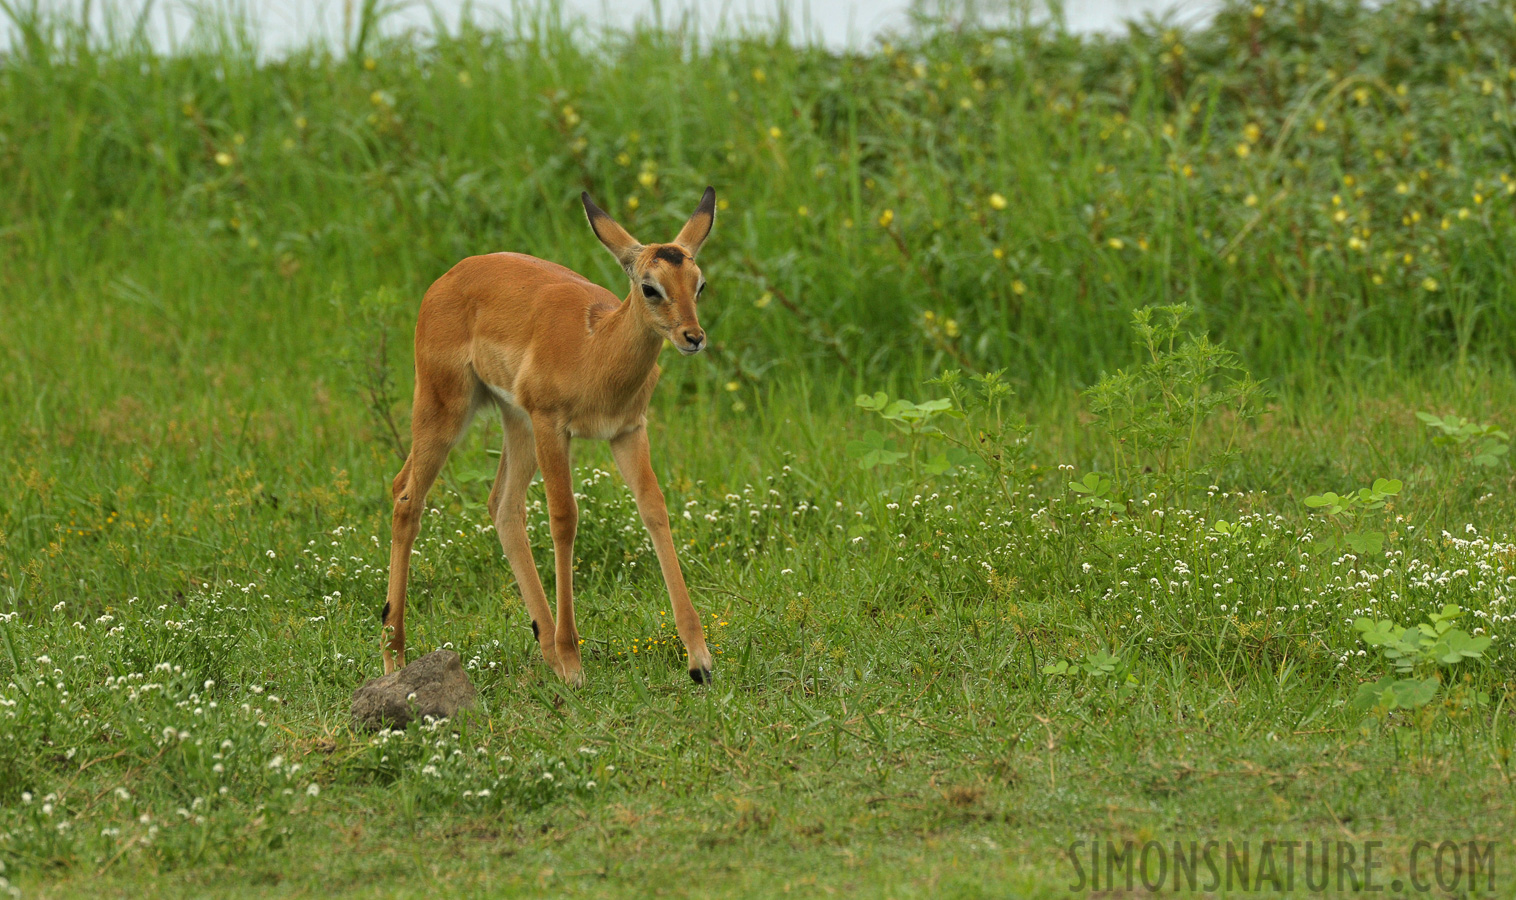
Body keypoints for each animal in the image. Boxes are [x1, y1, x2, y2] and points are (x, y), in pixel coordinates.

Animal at [375, 185, 712, 681]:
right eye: (650, 286)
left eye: (698, 283)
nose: (693, 337)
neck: (596, 348)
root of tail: (448, 277)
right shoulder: (554, 426)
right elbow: (564, 518)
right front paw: (574, 663)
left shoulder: (628, 430)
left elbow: (654, 509)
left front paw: (699, 659)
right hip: (446, 410)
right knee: (406, 496)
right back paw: (395, 655)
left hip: (516, 423)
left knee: (502, 506)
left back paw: (546, 646)